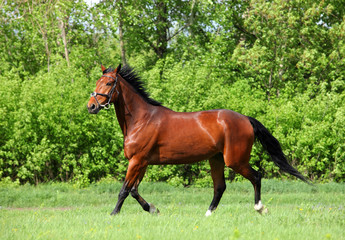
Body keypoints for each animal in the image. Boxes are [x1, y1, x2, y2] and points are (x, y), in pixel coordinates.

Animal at [87, 63, 308, 216]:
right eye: (97, 82)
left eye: (109, 83)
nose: (91, 106)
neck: (141, 119)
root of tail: (245, 119)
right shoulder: (142, 162)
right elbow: (133, 190)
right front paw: (153, 209)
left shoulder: (137, 160)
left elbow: (124, 190)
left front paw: (113, 214)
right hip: (216, 159)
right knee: (220, 186)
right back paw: (208, 213)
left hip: (234, 160)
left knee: (256, 176)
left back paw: (260, 208)